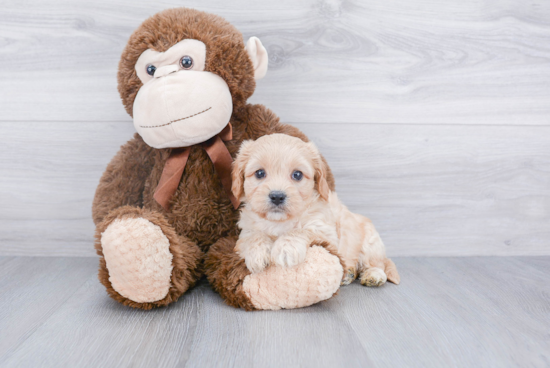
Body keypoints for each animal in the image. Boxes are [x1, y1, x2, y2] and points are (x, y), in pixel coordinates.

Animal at [232, 134, 402, 286]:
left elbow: (301, 231)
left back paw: (373, 275)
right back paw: (348, 275)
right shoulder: (244, 233)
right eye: (260, 173)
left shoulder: (326, 234)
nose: (277, 196)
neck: (279, 221)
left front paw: (285, 248)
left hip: (370, 244)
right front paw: (258, 253)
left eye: (297, 175)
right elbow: (254, 236)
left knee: (377, 264)